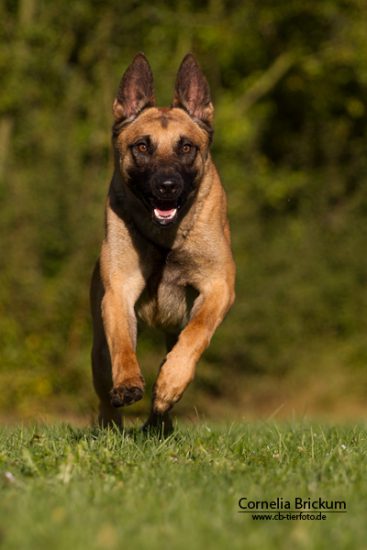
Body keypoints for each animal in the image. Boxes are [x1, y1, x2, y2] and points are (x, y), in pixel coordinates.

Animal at [91, 55, 236, 436]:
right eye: (142, 146)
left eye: (186, 147)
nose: (167, 186)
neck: (166, 239)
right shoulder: (118, 293)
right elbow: (122, 345)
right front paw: (128, 383)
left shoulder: (218, 287)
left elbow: (197, 333)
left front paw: (169, 384)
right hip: (98, 349)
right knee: (104, 388)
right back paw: (113, 426)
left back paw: (160, 417)